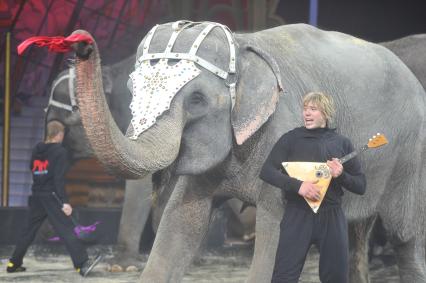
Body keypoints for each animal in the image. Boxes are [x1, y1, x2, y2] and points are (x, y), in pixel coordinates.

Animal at [62, 21, 426, 283]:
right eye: (131, 89)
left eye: (197, 99)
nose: (81, 41)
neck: (242, 43)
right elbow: (180, 222)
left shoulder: (282, 133)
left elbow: (277, 229)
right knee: (353, 234)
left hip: (411, 155)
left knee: (404, 235)